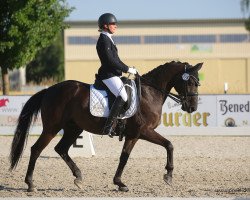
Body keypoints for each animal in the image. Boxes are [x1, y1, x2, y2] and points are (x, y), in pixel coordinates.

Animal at [9, 60, 203, 192]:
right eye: (190, 82)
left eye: (197, 83)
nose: (192, 108)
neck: (149, 93)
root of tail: (49, 90)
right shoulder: (143, 131)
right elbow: (169, 145)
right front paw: (168, 175)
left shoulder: (133, 135)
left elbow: (124, 157)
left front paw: (119, 183)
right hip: (52, 128)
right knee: (36, 149)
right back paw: (30, 183)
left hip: (74, 128)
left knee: (61, 149)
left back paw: (78, 177)